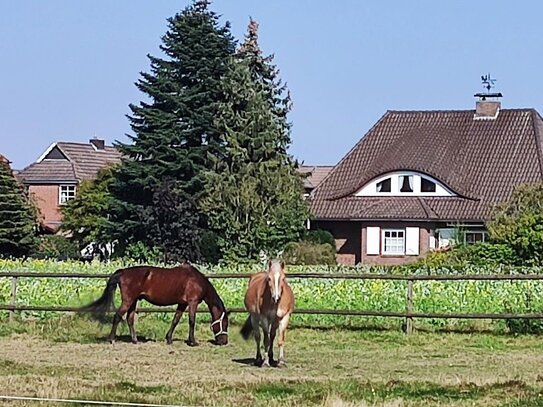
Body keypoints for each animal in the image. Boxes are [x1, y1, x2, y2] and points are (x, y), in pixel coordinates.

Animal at [82, 264, 230, 348]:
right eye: (225, 323)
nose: (224, 342)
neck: (196, 279)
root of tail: (123, 272)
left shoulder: (182, 304)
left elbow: (175, 320)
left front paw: (169, 339)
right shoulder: (192, 302)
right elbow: (192, 321)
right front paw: (192, 342)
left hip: (133, 301)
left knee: (130, 319)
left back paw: (135, 340)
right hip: (128, 301)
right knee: (118, 316)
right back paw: (112, 339)